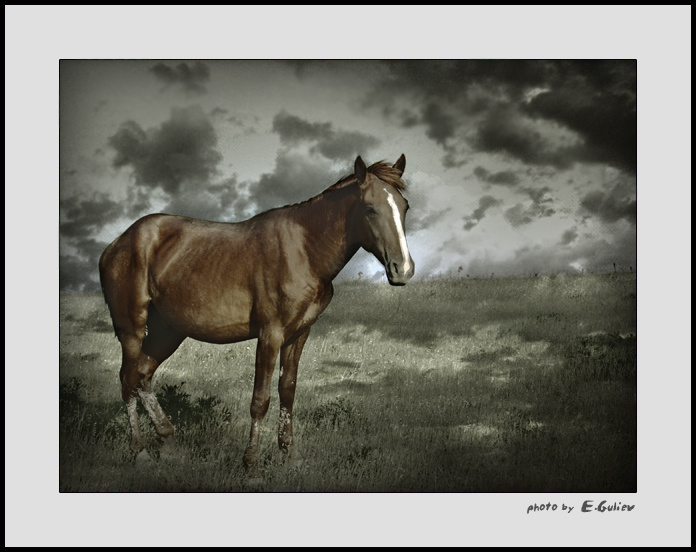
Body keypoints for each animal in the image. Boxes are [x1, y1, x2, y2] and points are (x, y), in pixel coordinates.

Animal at [99, 154, 414, 478]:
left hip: (168, 330)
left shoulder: (299, 334)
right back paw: (140, 453)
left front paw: (292, 455)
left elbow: (287, 391)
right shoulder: (270, 334)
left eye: (404, 207)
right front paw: (251, 466)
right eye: (370, 208)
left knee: (143, 375)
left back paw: (169, 442)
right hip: (132, 327)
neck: (304, 251)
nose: (402, 269)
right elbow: (260, 400)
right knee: (128, 379)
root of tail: (118, 243)